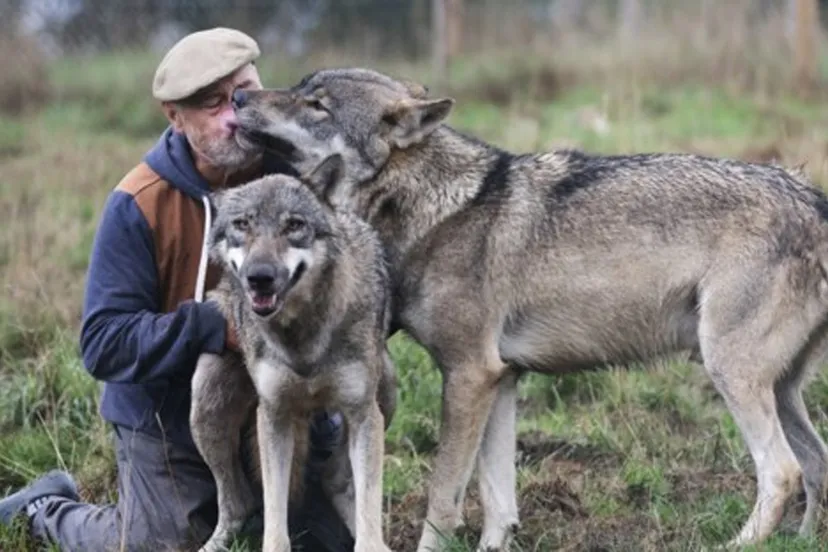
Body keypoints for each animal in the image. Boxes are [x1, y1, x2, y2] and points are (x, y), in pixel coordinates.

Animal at [189, 153, 398, 552]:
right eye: (242, 224)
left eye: (294, 225)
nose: (260, 276)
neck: (302, 340)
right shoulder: (274, 415)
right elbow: (274, 516)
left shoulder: (362, 413)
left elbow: (368, 507)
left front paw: (371, 541)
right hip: (206, 402)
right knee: (238, 503)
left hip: (386, 394)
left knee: (338, 481)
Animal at [228, 69, 828, 551]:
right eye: (300, 88)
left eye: (317, 105)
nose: (237, 96)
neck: (431, 207)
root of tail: (812, 198)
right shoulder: (502, 378)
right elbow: (498, 500)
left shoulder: (468, 375)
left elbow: (444, 496)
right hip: (779, 388)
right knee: (816, 464)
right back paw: (802, 541)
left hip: (729, 371)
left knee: (783, 472)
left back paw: (738, 544)